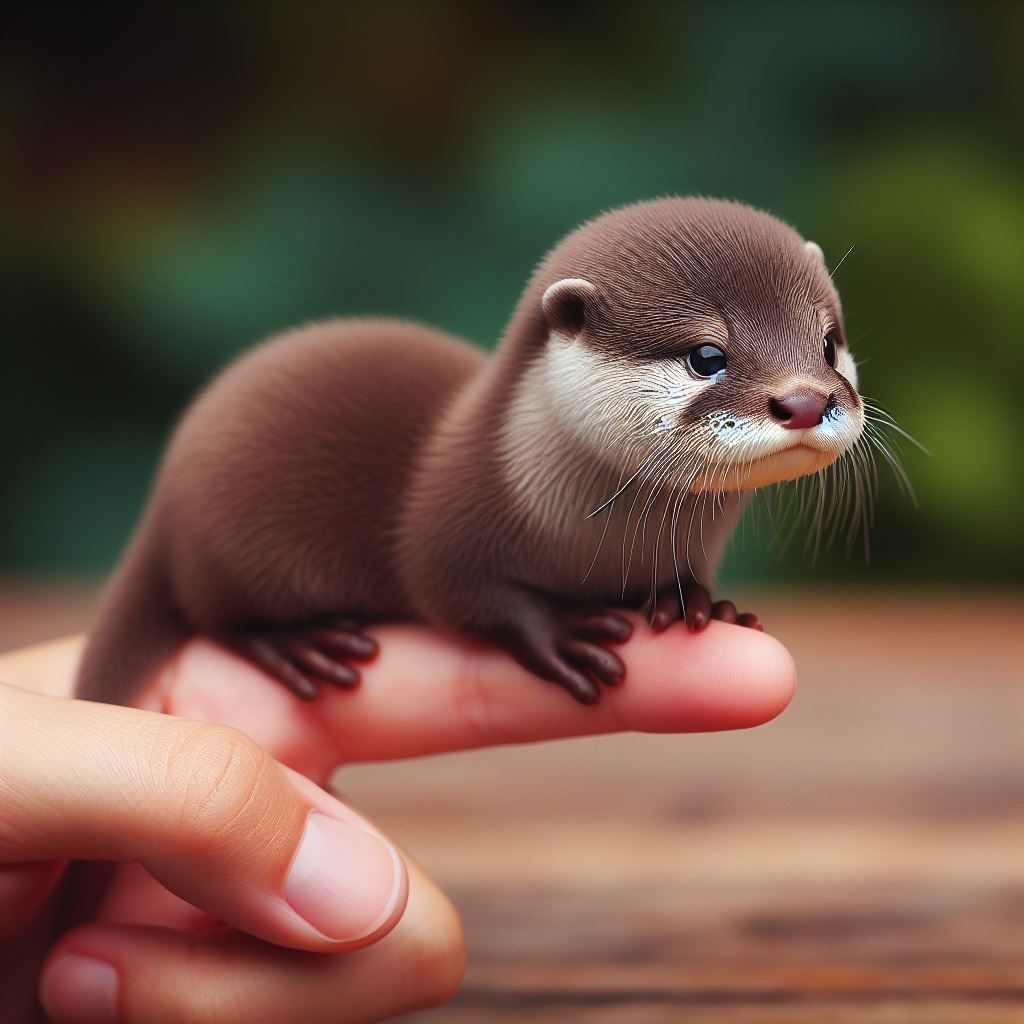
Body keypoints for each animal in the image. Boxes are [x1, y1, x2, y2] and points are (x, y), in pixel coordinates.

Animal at [76, 197, 864, 706]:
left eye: (829, 343)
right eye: (707, 356)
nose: (805, 400)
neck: (595, 539)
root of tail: (166, 493)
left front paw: (699, 601)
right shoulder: (450, 512)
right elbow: (447, 588)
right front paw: (561, 633)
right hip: (231, 542)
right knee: (215, 614)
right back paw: (301, 645)